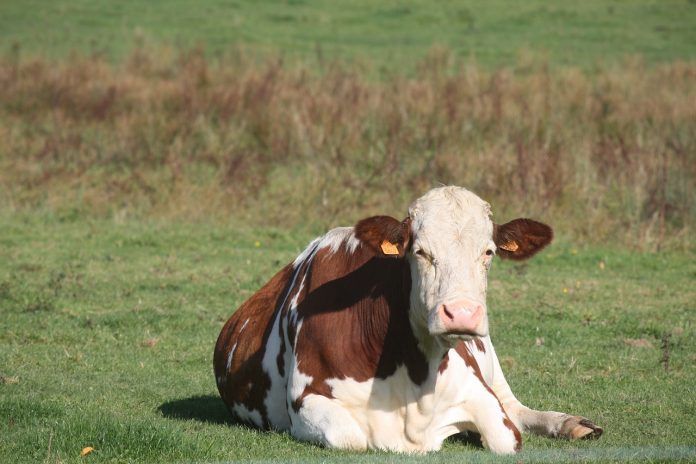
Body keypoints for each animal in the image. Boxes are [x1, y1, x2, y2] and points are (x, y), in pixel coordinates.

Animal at [214, 186, 602, 454]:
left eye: (488, 252)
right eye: (420, 251)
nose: (462, 313)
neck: (414, 374)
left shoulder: (480, 393)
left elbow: (506, 435)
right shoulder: (307, 399)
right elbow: (351, 437)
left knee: (517, 407)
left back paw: (572, 424)